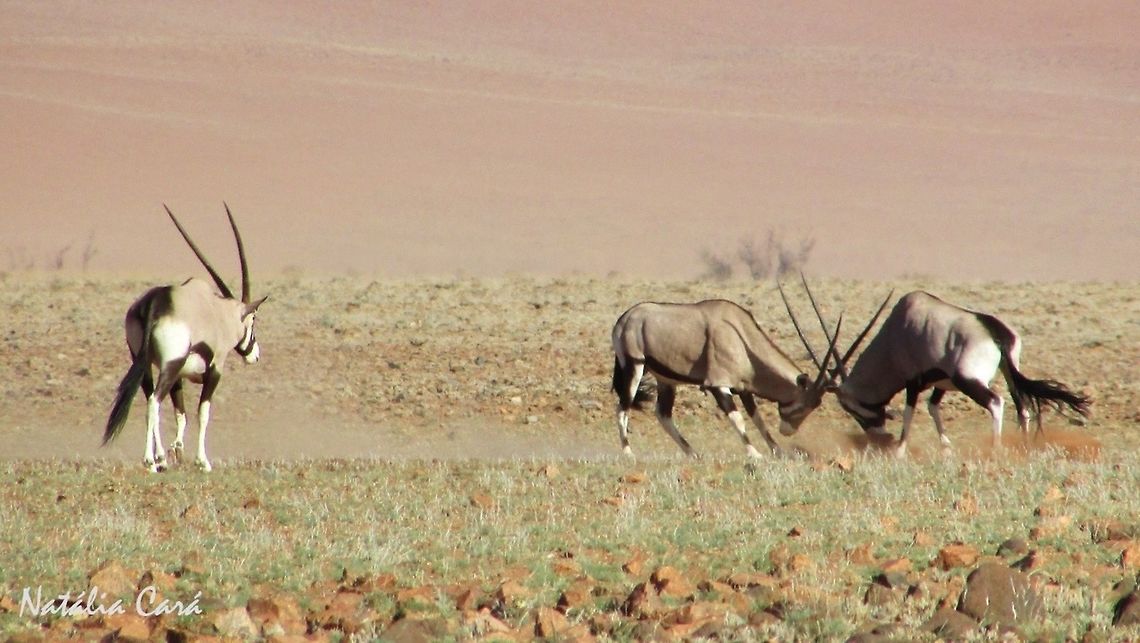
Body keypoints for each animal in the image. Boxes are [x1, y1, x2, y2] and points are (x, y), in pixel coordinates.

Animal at [104, 204, 267, 472]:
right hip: (171, 364)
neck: (219, 312)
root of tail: (155, 303)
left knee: (152, 400)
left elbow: (181, 414)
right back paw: (151, 459)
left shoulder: (179, 376)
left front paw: (177, 450)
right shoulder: (215, 370)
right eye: (253, 320)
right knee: (154, 401)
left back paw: (159, 460)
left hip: (147, 365)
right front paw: (203, 461)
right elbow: (203, 412)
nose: (255, 355)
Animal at [610, 297, 842, 458]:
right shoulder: (718, 385)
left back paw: (693, 453)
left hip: (667, 380)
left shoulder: (743, 388)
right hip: (635, 366)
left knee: (663, 414)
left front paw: (777, 451)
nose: (787, 431)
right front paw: (754, 454)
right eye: (803, 405)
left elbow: (757, 419)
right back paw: (628, 453)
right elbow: (737, 418)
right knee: (622, 408)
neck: (741, 337)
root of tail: (624, 318)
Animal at [783, 281, 1091, 458]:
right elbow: (933, 408)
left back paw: (996, 449)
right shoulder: (941, 383)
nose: (879, 438)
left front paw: (900, 451)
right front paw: (946, 447)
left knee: (996, 402)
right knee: (1022, 406)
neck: (895, 333)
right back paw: (1024, 448)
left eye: (851, 409)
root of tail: (997, 334)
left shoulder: (913, 381)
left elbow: (910, 412)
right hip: (1008, 371)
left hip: (970, 381)